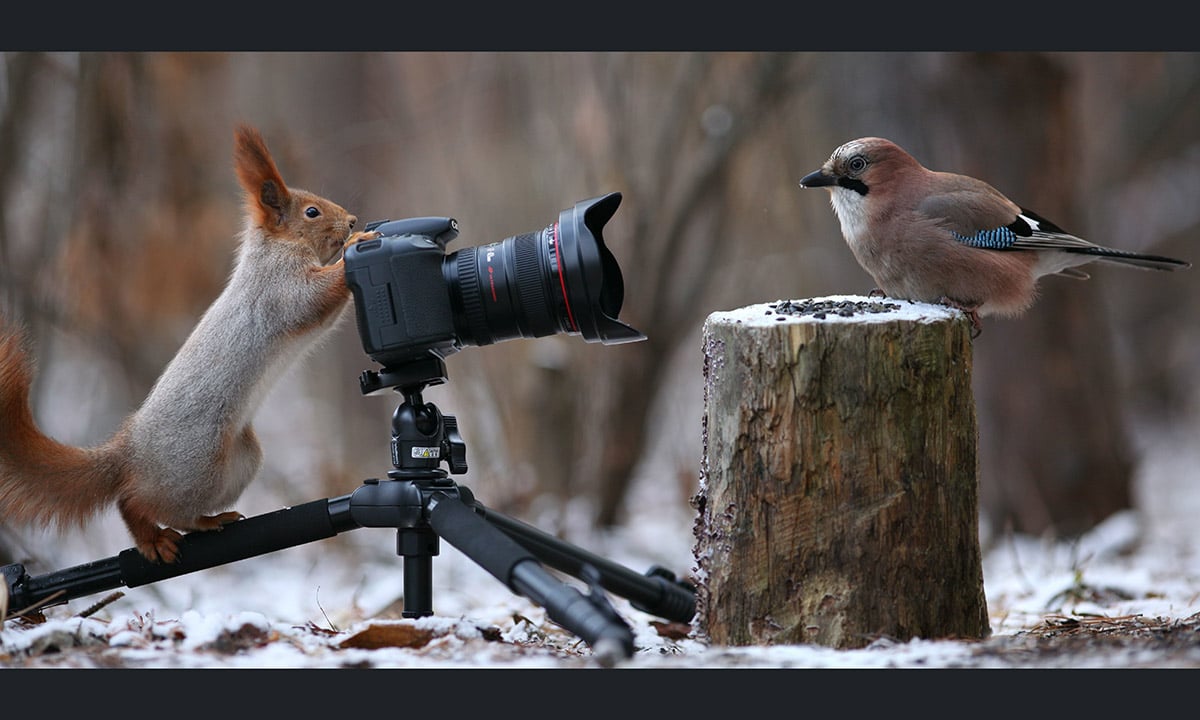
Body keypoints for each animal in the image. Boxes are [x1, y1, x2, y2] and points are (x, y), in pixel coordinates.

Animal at [0, 123, 377, 564]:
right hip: (196, 467)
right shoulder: (278, 288)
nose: (351, 220)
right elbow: (312, 298)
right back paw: (154, 539)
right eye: (311, 212)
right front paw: (359, 243)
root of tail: (129, 453)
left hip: (239, 462)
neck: (274, 248)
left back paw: (211, 521)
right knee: (135, 501)